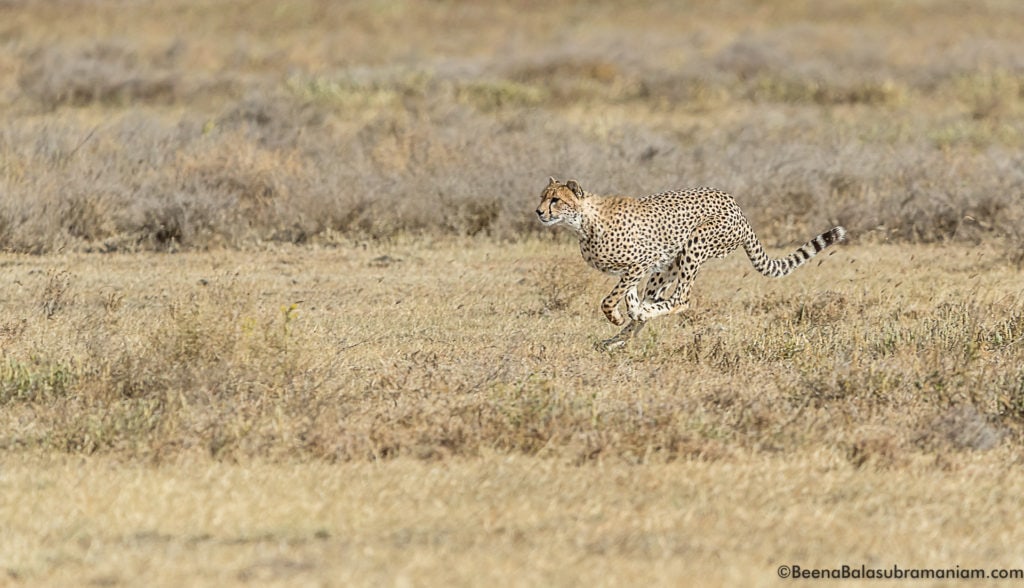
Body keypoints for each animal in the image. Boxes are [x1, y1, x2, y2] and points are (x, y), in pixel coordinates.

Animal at [536, 175, 847, 350]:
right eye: (542, 197)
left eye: (556, 200)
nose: (539, 212)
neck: (583, 223)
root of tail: (737, 207)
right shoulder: (638, 267)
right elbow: (629, 295)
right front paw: (629, 315)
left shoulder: (643, 260)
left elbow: (611, 299)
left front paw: (617, 315)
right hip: (670, 263)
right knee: (659, 299)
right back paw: (618, 338)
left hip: (695, 245)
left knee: (682, 299)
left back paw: (640, 318)